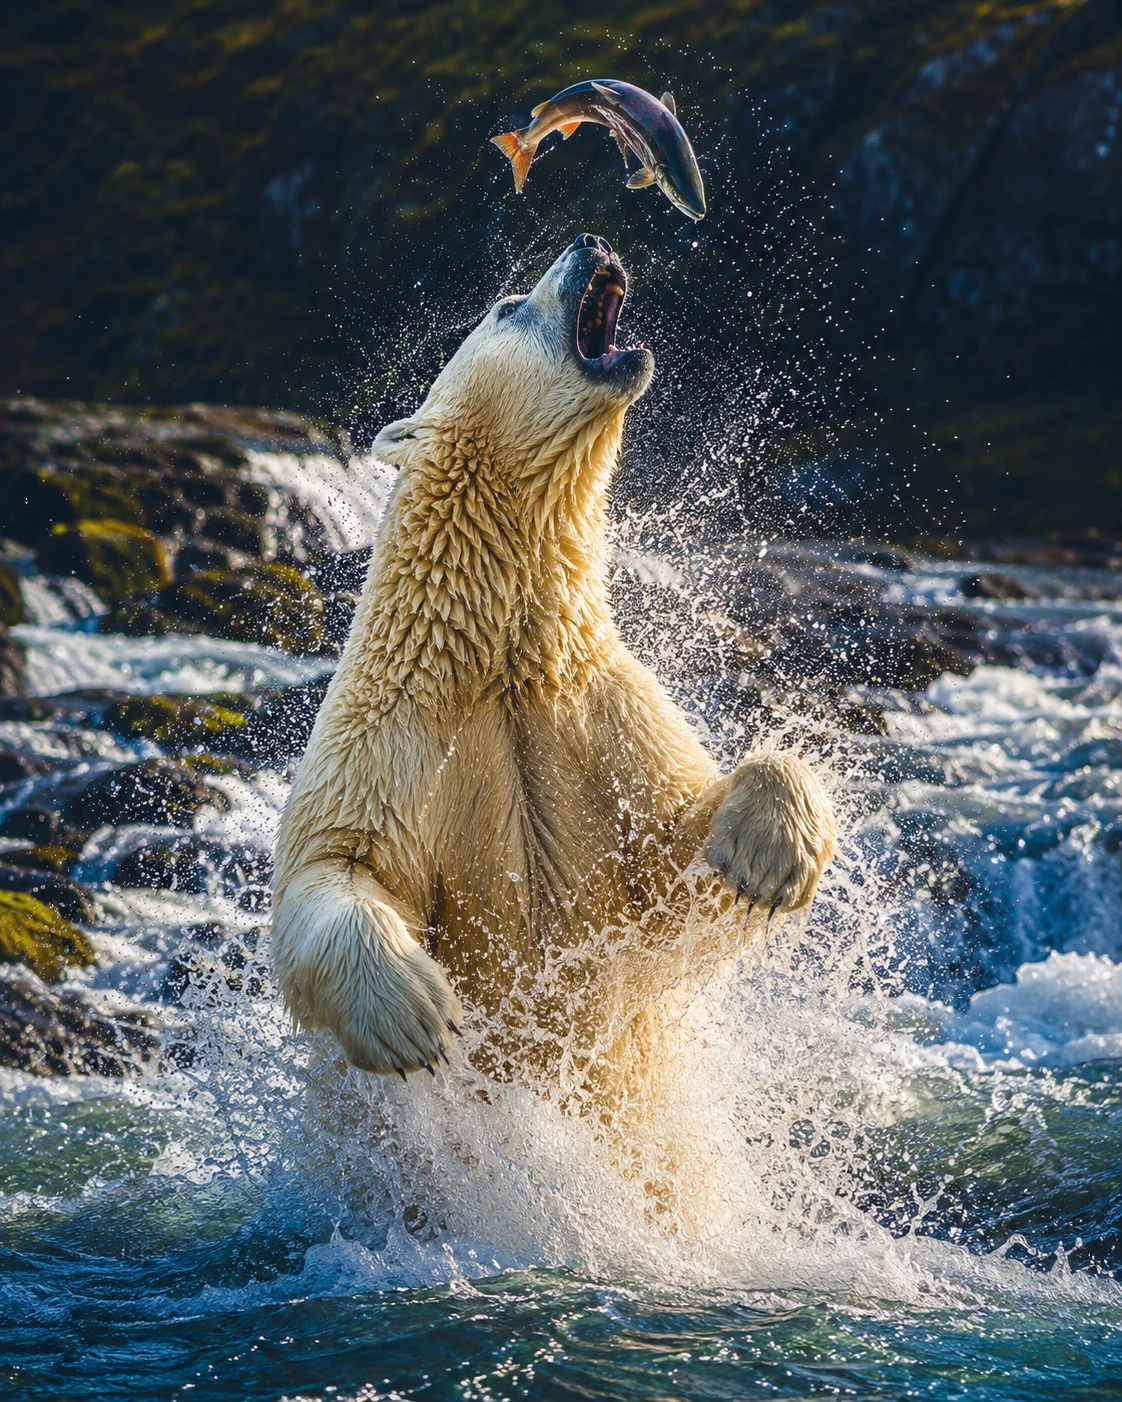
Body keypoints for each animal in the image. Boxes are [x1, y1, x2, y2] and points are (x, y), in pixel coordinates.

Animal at [271, 232, 836, 1113]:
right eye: (507, 306)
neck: (501, 663)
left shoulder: (600, 708)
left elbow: (675, 871)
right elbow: (334, 865)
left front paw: (767, 858)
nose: (591, 240)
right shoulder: (392, 728)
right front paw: (417, 1015)